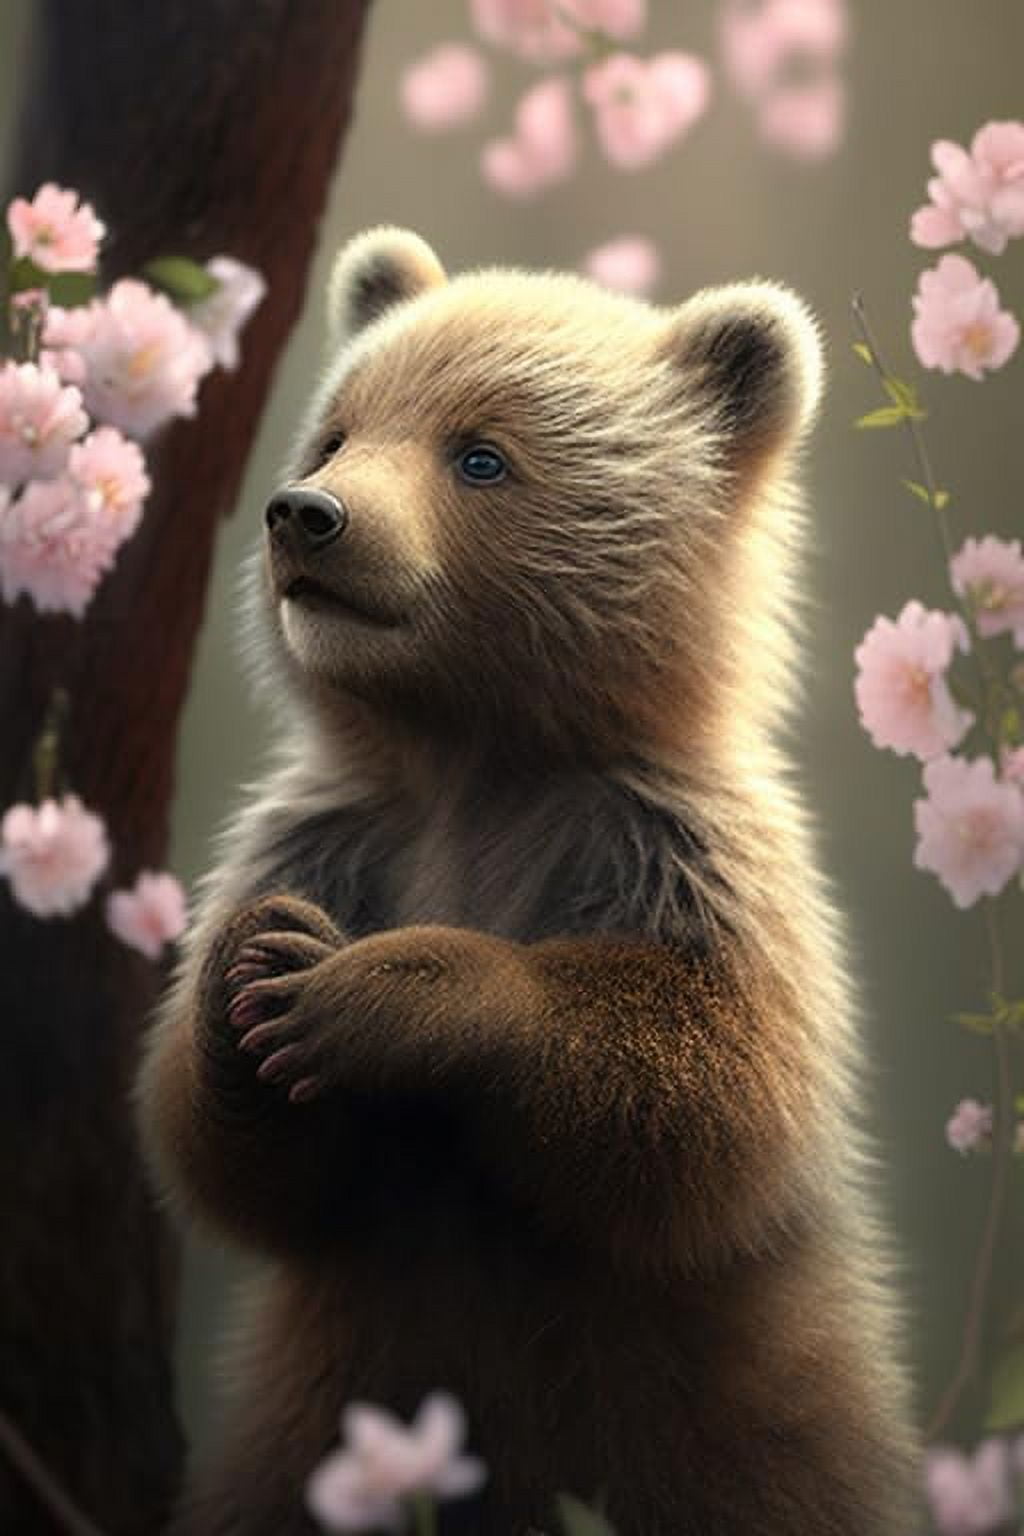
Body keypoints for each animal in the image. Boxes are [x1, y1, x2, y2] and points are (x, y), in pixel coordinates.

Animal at [139, 227, 919, 1536]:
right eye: (338, 430)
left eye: (480, 454)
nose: (308, 516)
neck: (475, 757)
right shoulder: (336, 834)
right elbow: (232, 1160)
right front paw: (258, 962)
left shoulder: (673, 852)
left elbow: (710, 1092)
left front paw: (373, 991)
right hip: (307, 1425)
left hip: (754, 1428)